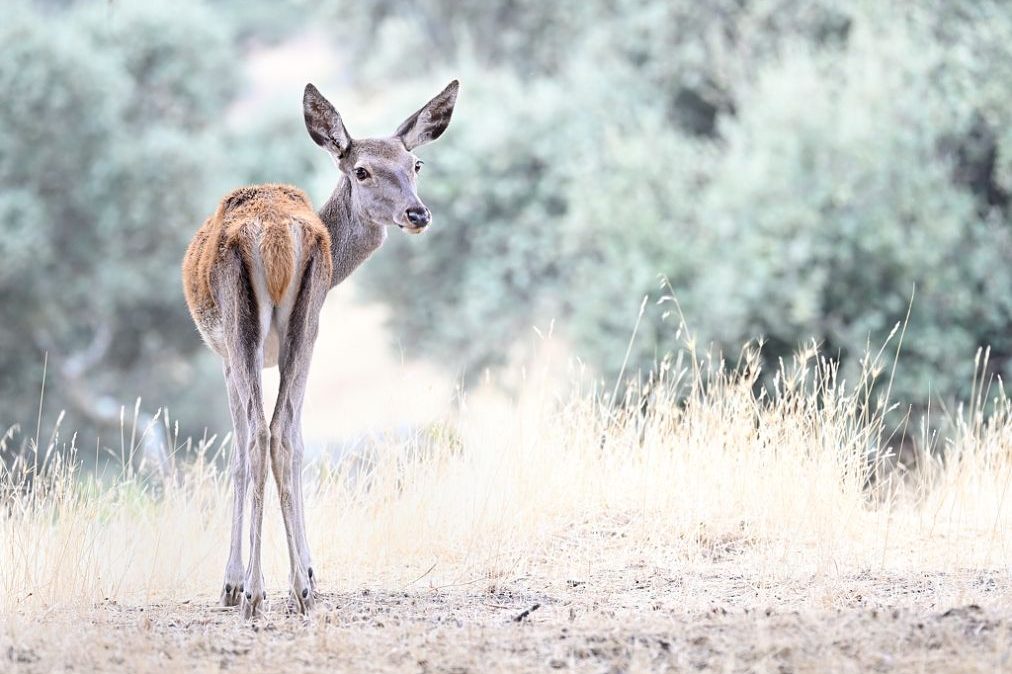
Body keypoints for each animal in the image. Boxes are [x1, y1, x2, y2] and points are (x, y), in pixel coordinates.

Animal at [181, 80, 459, 618]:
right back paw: (293, 588)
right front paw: (305, 574)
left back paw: (257, 592)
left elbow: (243, 450)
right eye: (362, 169)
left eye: (415, 164)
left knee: (263, 435)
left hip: (250, 327)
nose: (418, 213)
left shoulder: (225, 356)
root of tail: (273, 234)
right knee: (283, 434)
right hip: (303, 325)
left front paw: (235, 583)